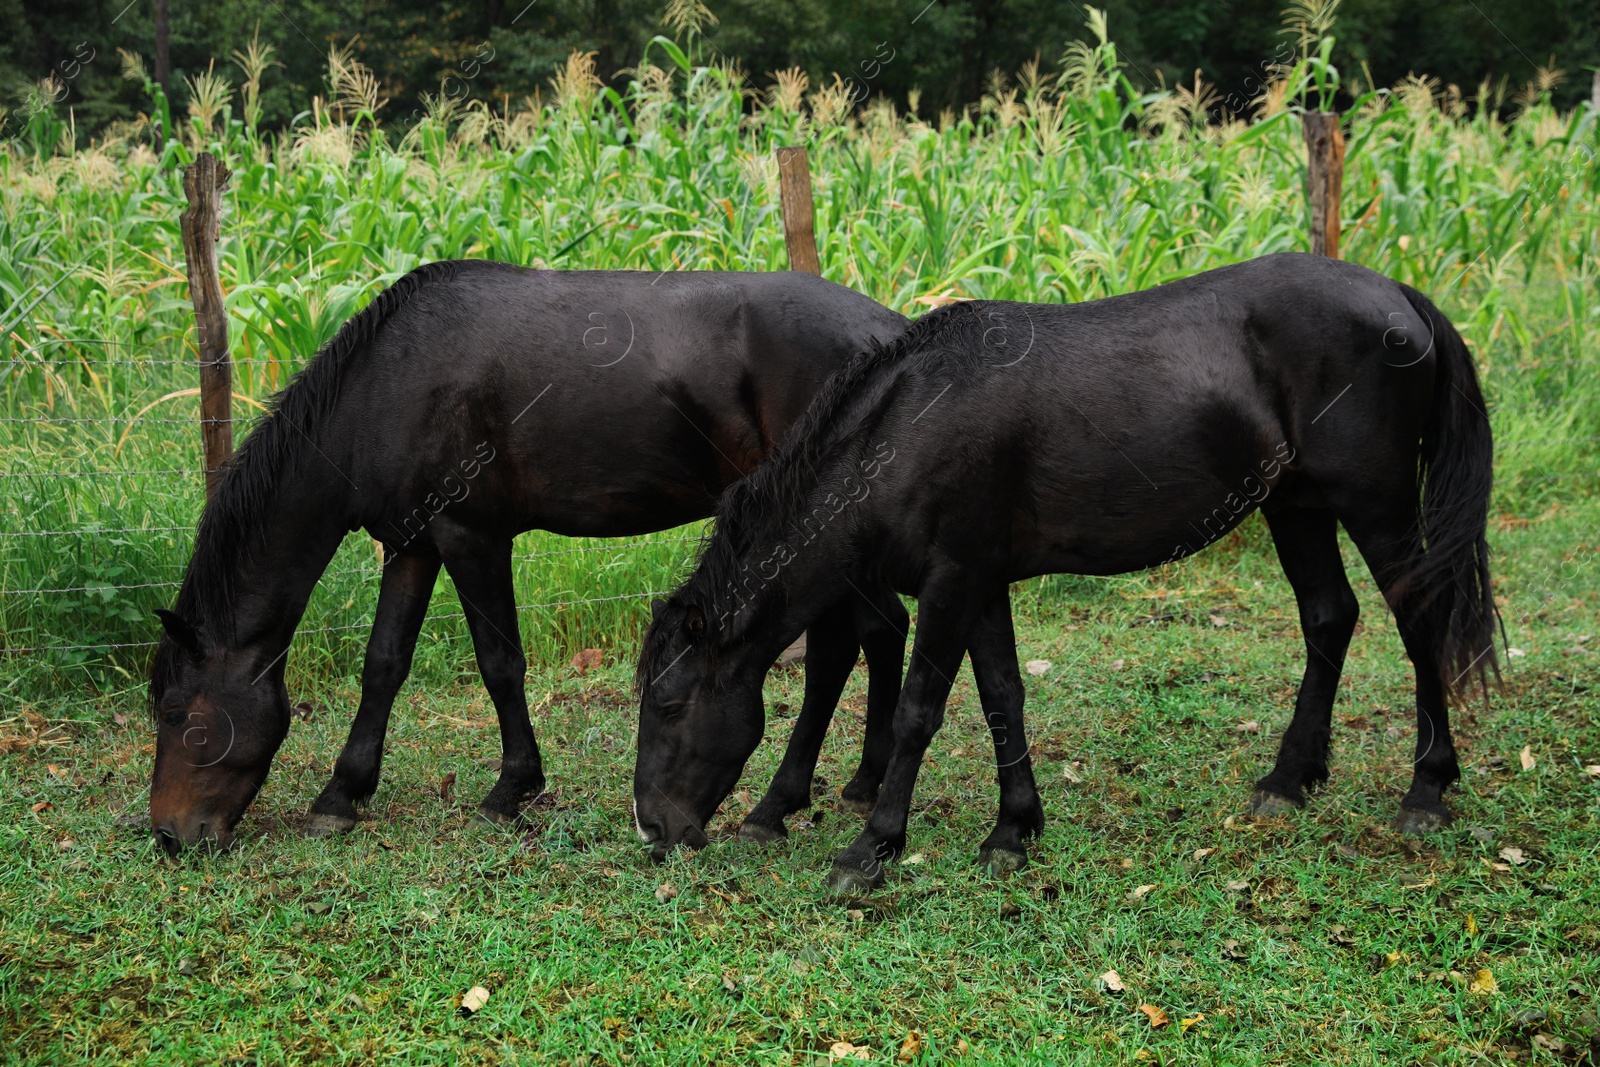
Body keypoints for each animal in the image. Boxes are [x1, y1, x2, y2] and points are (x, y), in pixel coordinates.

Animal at [150, 265, 915, 857]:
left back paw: (784, 804)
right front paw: (342, 791)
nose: (168, 834)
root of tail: (892, 332)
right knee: (882, 631)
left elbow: (500, 662)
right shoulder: (412, 544)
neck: (390, 382)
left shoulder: (472, 536)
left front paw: (511, 787)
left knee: (839, 650)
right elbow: (384, 665)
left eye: (179, 714)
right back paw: (862, 782)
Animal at [633, 254, 1497, 895]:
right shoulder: (981, 583)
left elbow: (918, 711)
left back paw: (1426, 788)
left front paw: (870, 847)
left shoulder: (954, 581)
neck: (909, 427)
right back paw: (1290, 778)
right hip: (1299, 504)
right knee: (1329, 616)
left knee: (1419, 620)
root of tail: (1397, 297)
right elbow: (1001, 696)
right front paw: (1013, 828)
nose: (653, 829)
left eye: (669, 704)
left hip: (1377, 505)